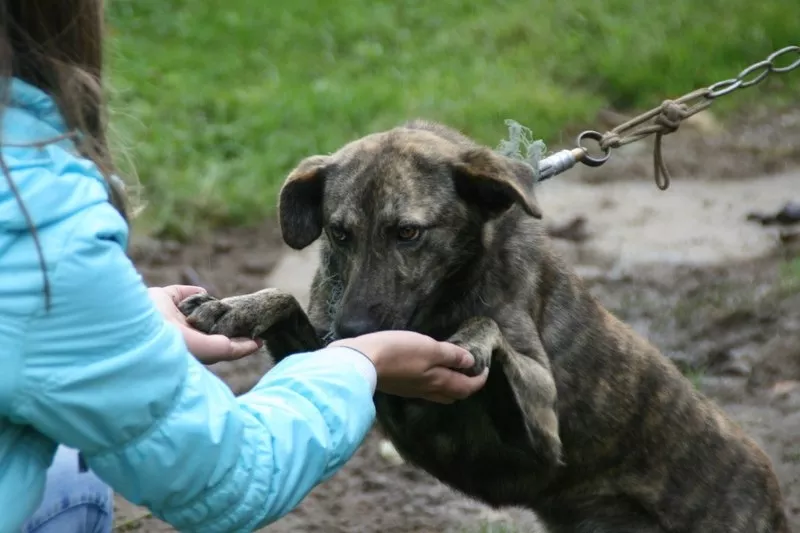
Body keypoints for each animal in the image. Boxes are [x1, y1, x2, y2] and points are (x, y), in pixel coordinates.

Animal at [177, 120, 788, 532]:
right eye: (340, 232)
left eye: (408, 233)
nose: (351, 332)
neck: (438, 303)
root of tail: (770, 485)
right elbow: (282, 301)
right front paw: (237, 306)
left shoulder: (540, 433)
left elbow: (490, 334)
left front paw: (471, 339)